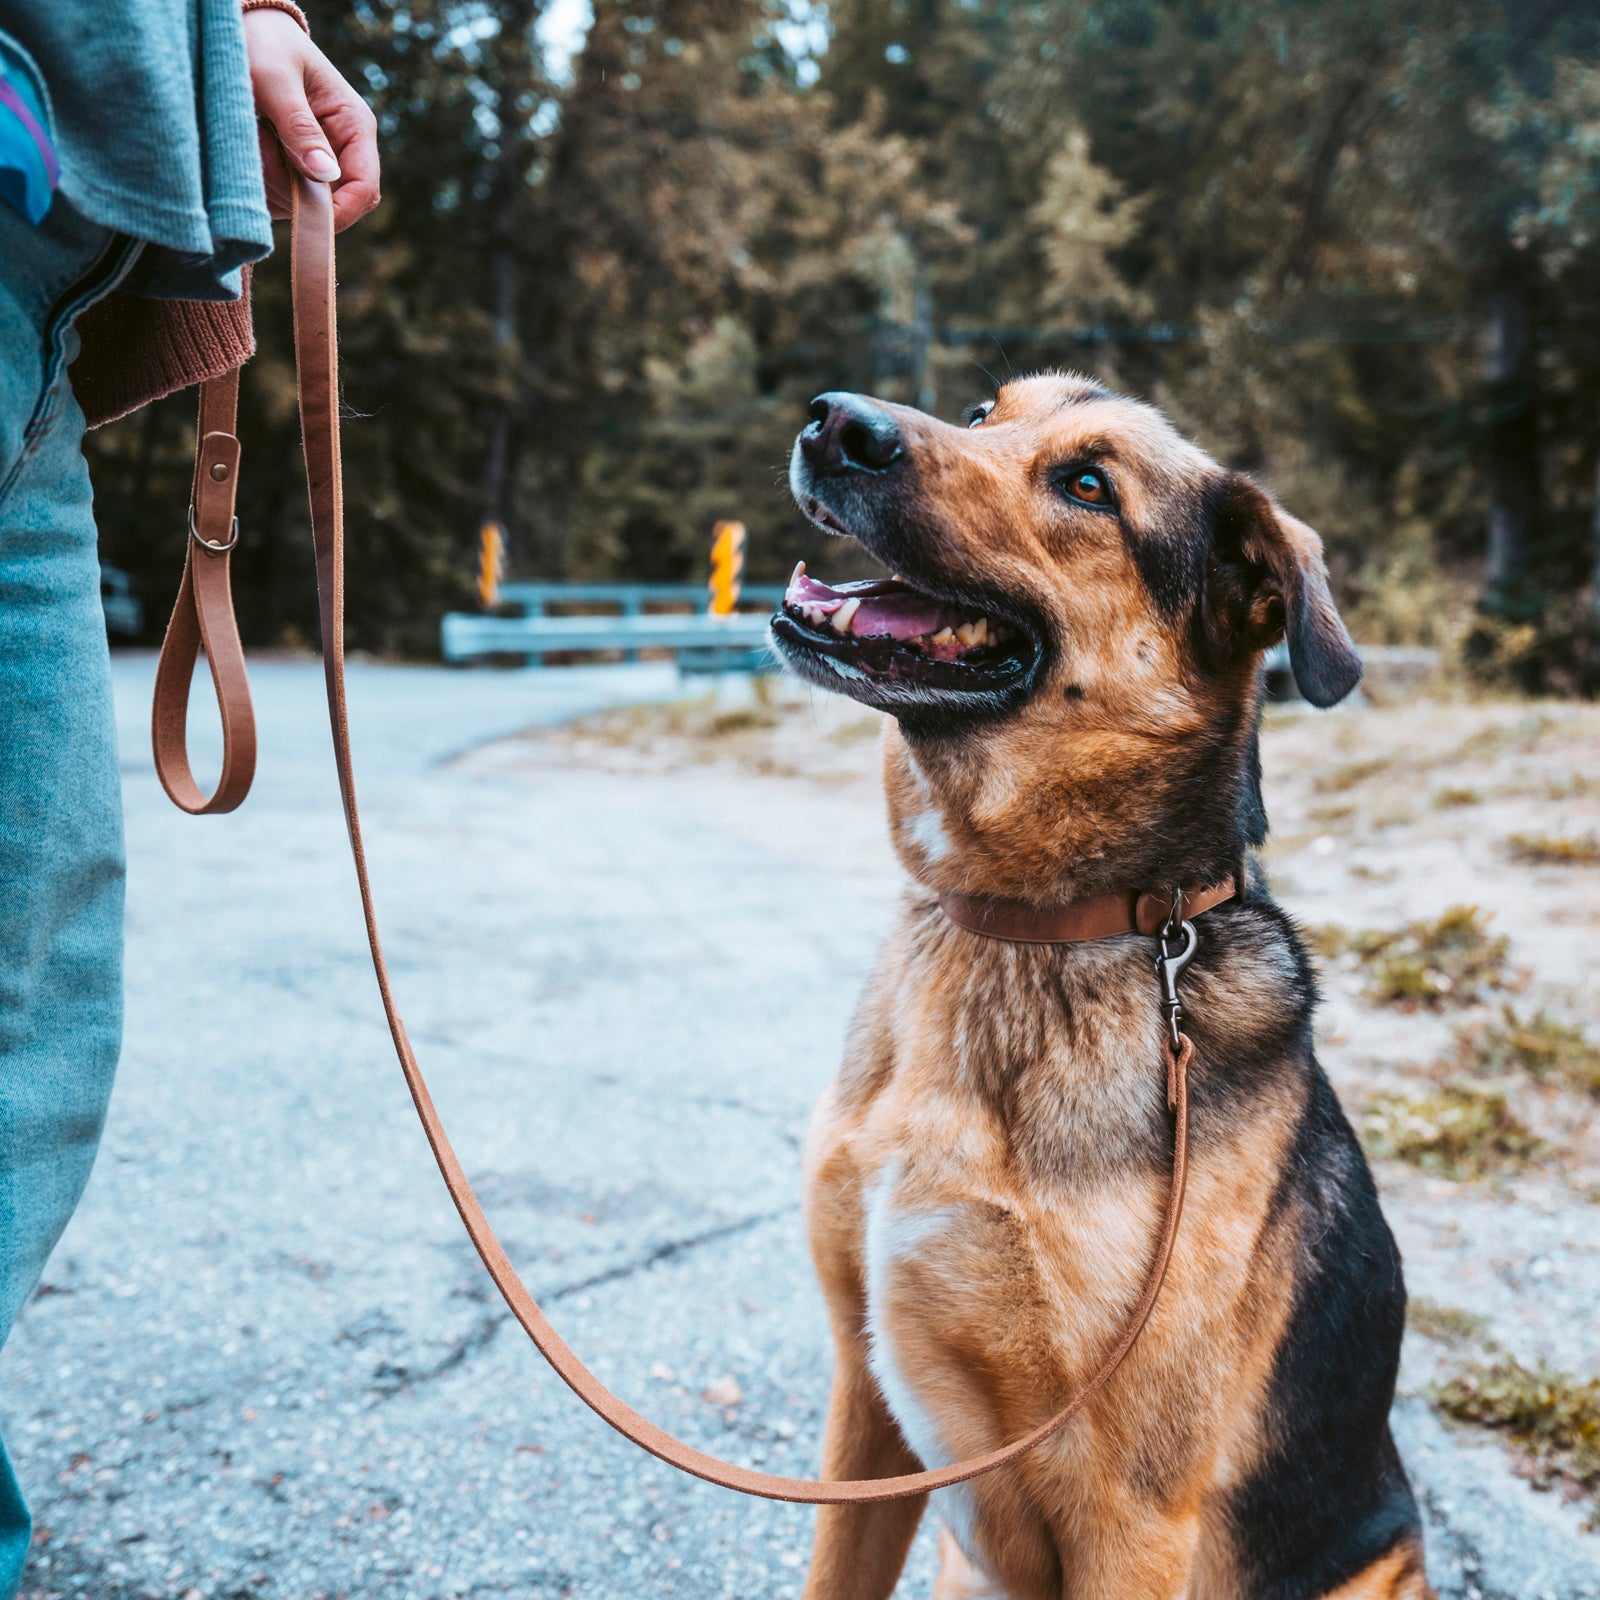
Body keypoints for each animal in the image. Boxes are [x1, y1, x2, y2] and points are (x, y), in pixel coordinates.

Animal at [768, 377, 1433, 1600]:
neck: (1028, 931)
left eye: (1087, 485)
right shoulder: (862, 1400)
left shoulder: (1133, 1515)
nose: (835, 420)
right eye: (985, 410)